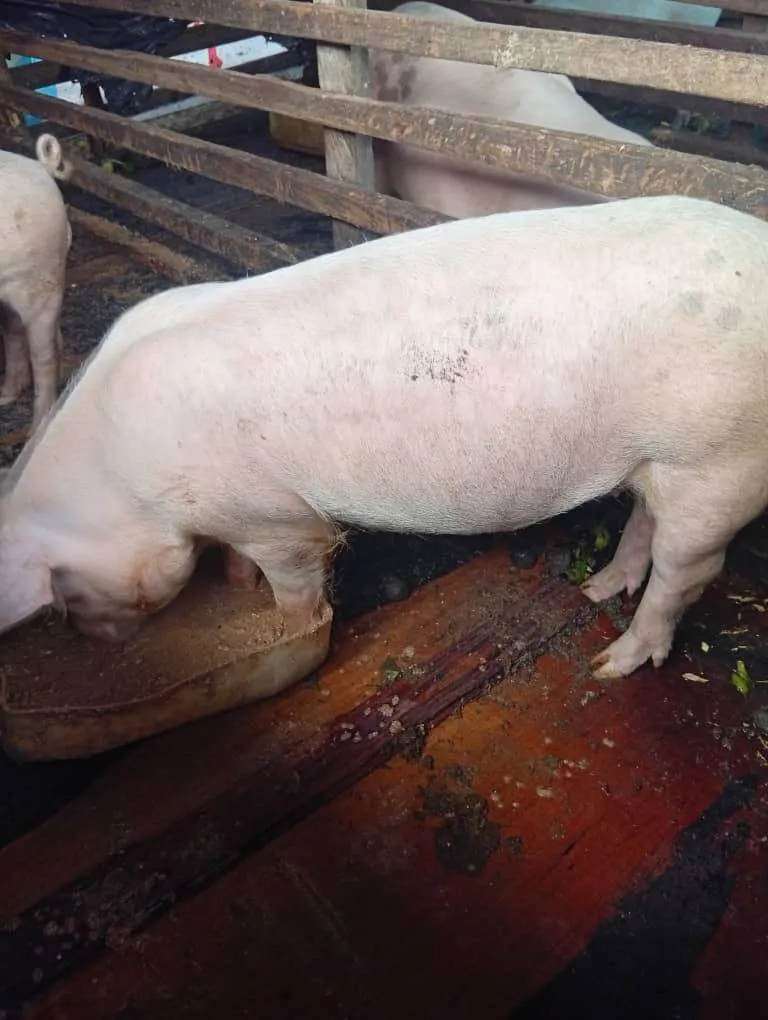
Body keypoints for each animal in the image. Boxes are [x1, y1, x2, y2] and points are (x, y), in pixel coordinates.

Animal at [1, 193, 768, 682]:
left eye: (67, 594)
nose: (92, 645)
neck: (120, 477)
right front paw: (236, 585)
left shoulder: (278, 517)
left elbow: (294, 585)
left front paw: (288, 630)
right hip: (662, 460)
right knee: (644, 522)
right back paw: (595, 592)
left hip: (720, 462)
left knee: (687, 571)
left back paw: (611, 666)